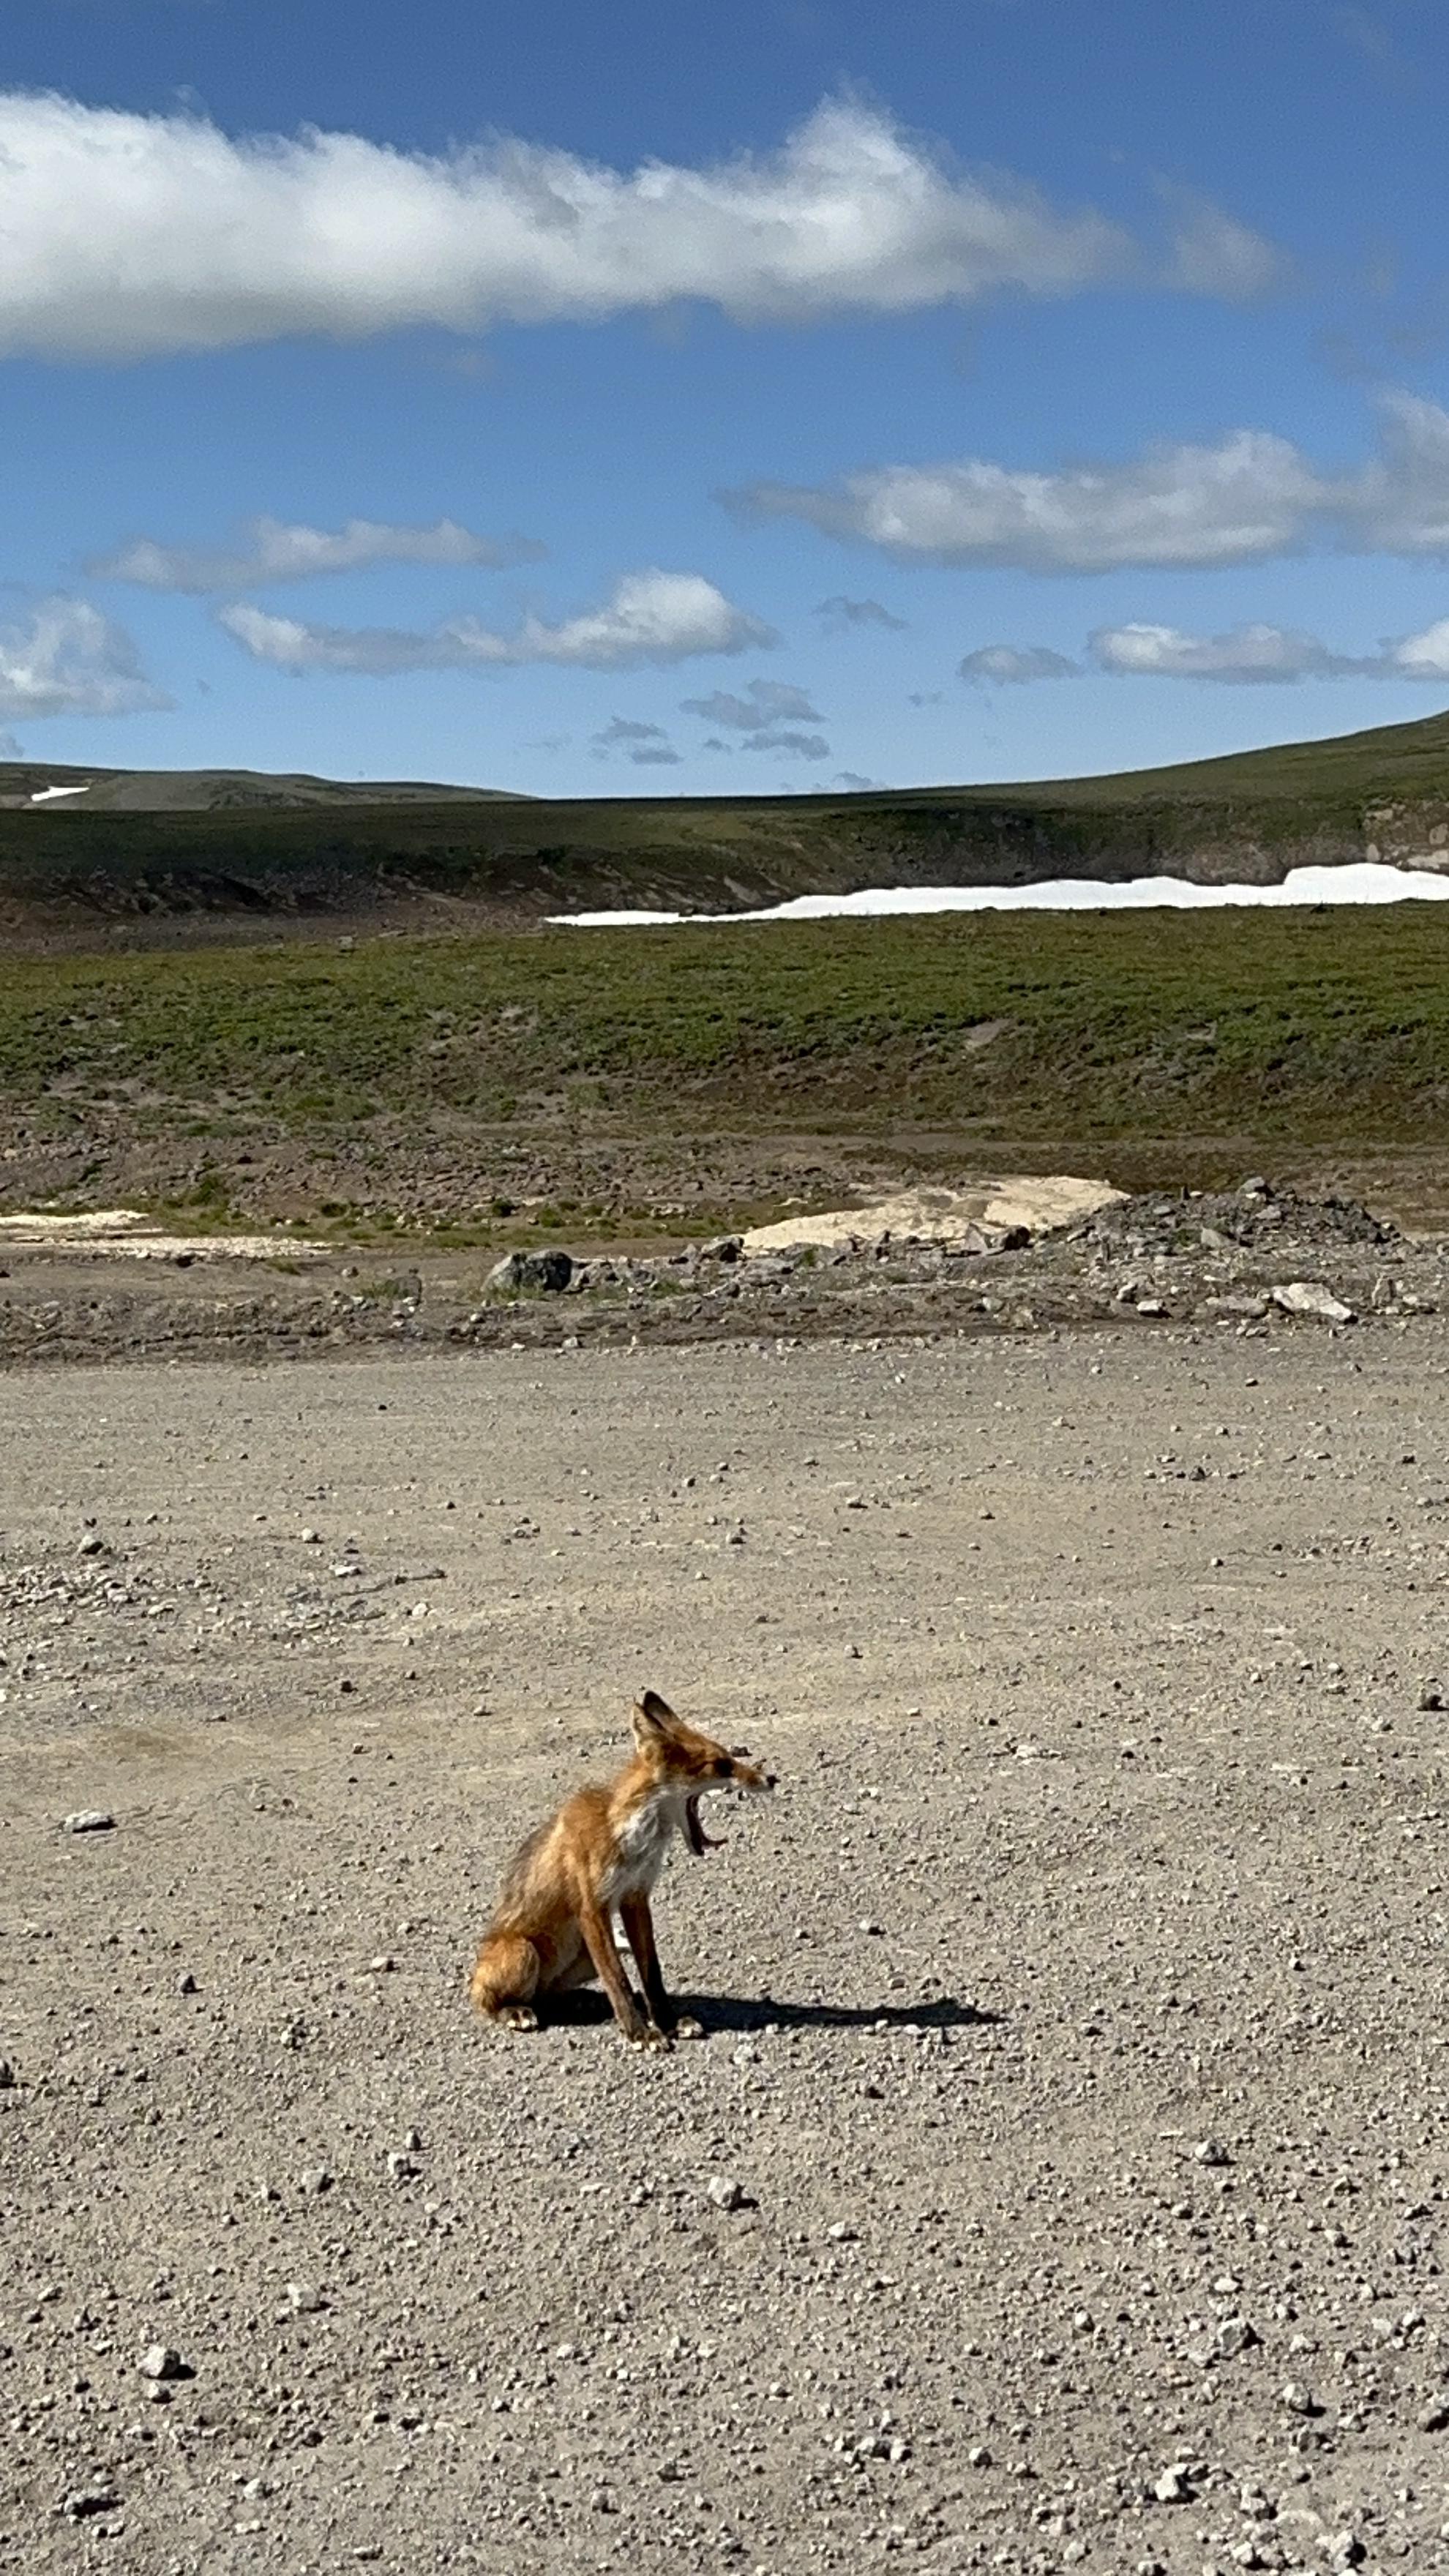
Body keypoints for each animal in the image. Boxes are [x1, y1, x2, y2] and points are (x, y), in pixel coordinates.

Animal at [469, 1690, 775, 2050]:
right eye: (721, 1764)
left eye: (730, 1756)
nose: (771, 1778)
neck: (631, 1840)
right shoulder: (592, 1908)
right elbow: (619, 1980)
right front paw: (640, 2033)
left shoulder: (635, 1898)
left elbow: (651, 1976)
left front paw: (667, 2022)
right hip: (524, 1953)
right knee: (490, 2002)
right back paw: (514, 2011)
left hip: (586, 1956)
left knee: (551, 1995)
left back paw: (579, 2001)